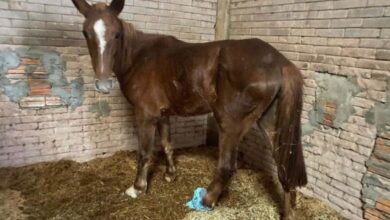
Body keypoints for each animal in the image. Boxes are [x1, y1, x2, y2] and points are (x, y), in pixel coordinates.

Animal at [71, 0, 306, 219]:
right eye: (86, 32)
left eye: (117, 34)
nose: (103, 85)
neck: (139, 58)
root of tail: (280, 62)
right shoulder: (162, 114)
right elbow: (167, 144)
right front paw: (170, 174)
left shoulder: (145, 115)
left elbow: (145, 152)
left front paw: (137, 188)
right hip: (269, 121)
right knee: (284, 165)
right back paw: (288, 211)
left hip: (230, 124)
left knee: (227, 166)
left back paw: (206, 200)